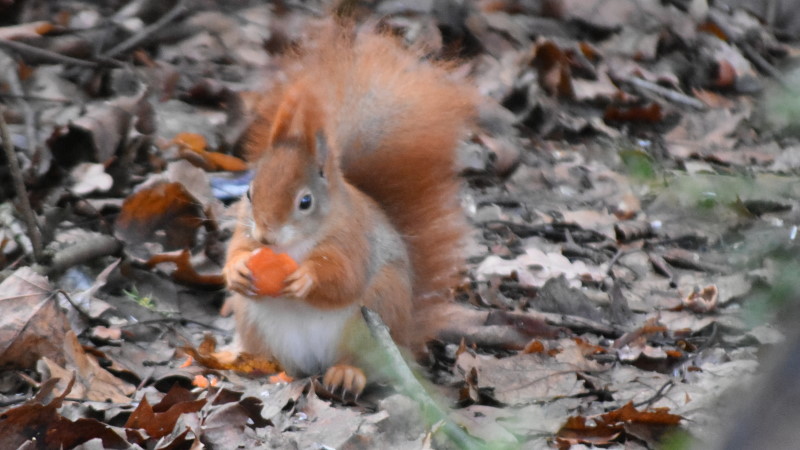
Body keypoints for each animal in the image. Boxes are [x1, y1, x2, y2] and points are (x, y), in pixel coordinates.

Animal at [222, 22, 478, 396]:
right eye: (249, 193)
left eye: (305, 202)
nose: (267, 237)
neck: (294, 245)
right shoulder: (246, 227)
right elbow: (236, 251)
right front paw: (239, 269)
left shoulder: (353, 237)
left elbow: (346, 275)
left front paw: (306, 278)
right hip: (255, 323)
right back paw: (252, 364)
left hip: (375, 313)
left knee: (362, 363)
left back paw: (346, 374)